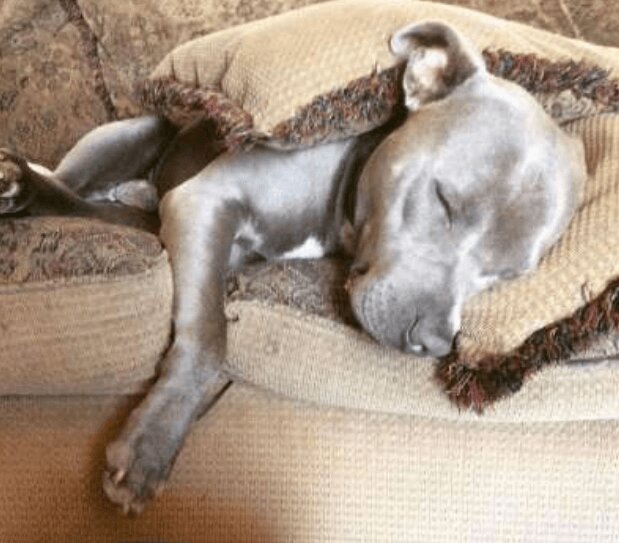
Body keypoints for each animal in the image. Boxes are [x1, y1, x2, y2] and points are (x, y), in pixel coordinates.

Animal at [0, 22, 586, 513]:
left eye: (509, 274)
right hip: (130, 130)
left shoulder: (202, 224)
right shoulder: (204, 201)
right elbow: (209, 338)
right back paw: (22, 183)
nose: (435, 342)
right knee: (71, 186)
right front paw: (150, 448)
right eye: (444, 200)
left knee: (97, 205)